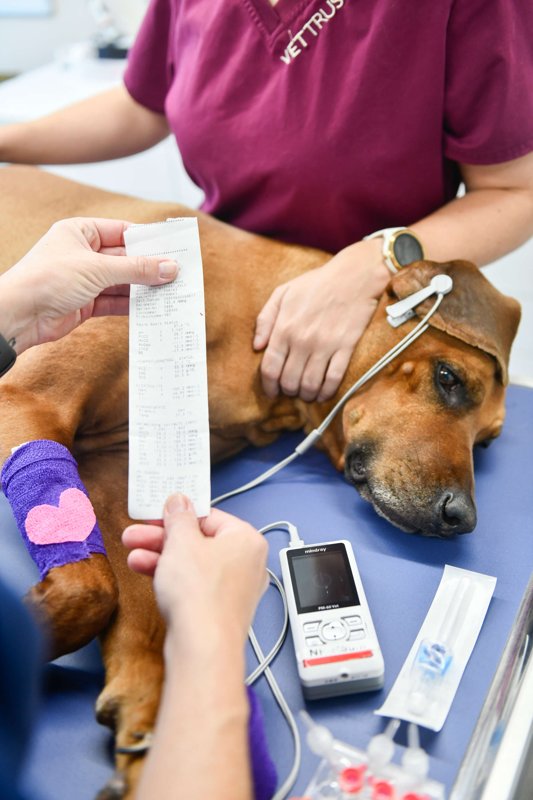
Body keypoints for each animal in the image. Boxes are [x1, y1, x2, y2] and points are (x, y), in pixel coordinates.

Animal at [0, 166, 520, 796]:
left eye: (486, 444)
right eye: (448, 378)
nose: (460, 517)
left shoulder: (116, 473)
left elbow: (136, 599)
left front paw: (154, 712)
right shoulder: (29, 402)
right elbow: (93, 586)